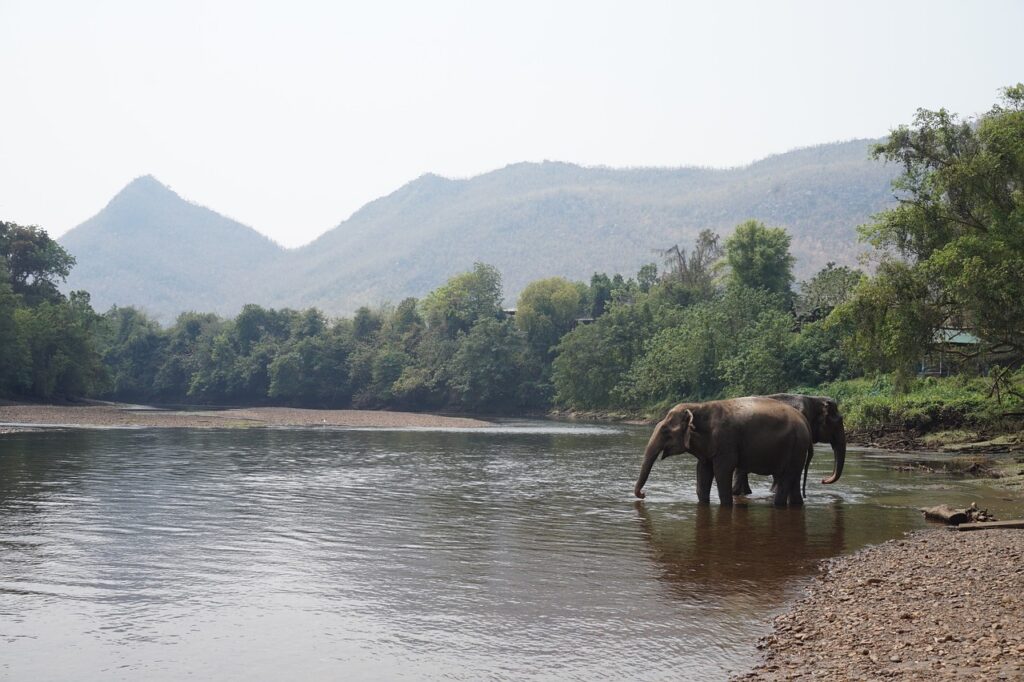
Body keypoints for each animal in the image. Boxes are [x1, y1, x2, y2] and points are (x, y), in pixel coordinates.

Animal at [634, 393, 811, 503]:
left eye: (665, 431)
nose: (643, 494)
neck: (698, 407)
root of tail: (805, 424)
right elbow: (703, 472)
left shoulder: (725, 441)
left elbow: (722, 471)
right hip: (796, 449)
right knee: (793, 480)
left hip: (795, 447)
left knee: (785, 479)